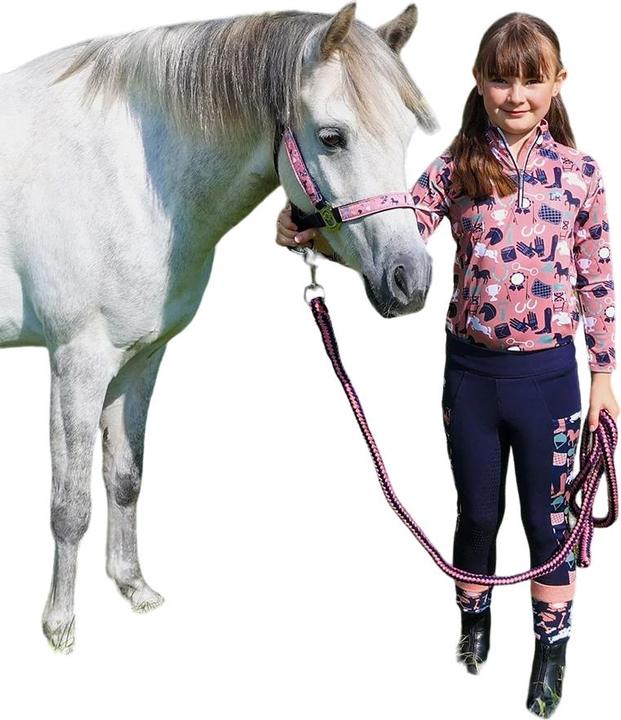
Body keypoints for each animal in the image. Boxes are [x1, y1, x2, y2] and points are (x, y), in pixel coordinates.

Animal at [0, 2, 437, 652]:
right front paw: (59, 625)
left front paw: (134, 587)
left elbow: (125, 476)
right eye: (332, 137)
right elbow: (70, 503)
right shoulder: (76, 362)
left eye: (406, 134)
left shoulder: (140, 358)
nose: (411, 280)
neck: (129, 174)